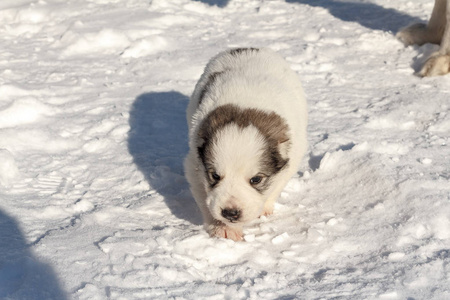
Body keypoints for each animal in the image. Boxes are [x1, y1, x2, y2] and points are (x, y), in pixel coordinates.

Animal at [185, 48, 308, 241]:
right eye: (215, 176)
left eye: (256, 179)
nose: (230, 213)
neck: (245, 111)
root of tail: (250, 47)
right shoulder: (194, 164)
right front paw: (224, 228)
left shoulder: (292, 157)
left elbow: (274, 187)